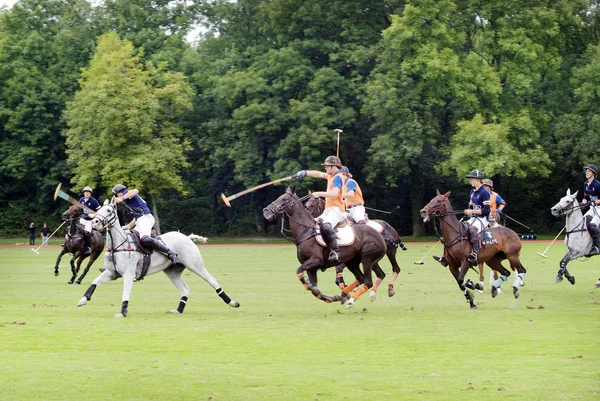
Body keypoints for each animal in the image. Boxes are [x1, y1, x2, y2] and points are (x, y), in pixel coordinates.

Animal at [76, 198, 240, 318]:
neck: (118, 245)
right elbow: (94, 283)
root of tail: (186, 237)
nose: (95, 222)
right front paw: (82, 300)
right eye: (98, 210)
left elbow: (125, 293)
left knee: (212, 280)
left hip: (195, 265)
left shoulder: (128, 274)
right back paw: (178, 310)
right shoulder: (112, 272)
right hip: (172, 271)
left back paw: (232, 302)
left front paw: (122, 312)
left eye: (109, 210)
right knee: (185, 288)